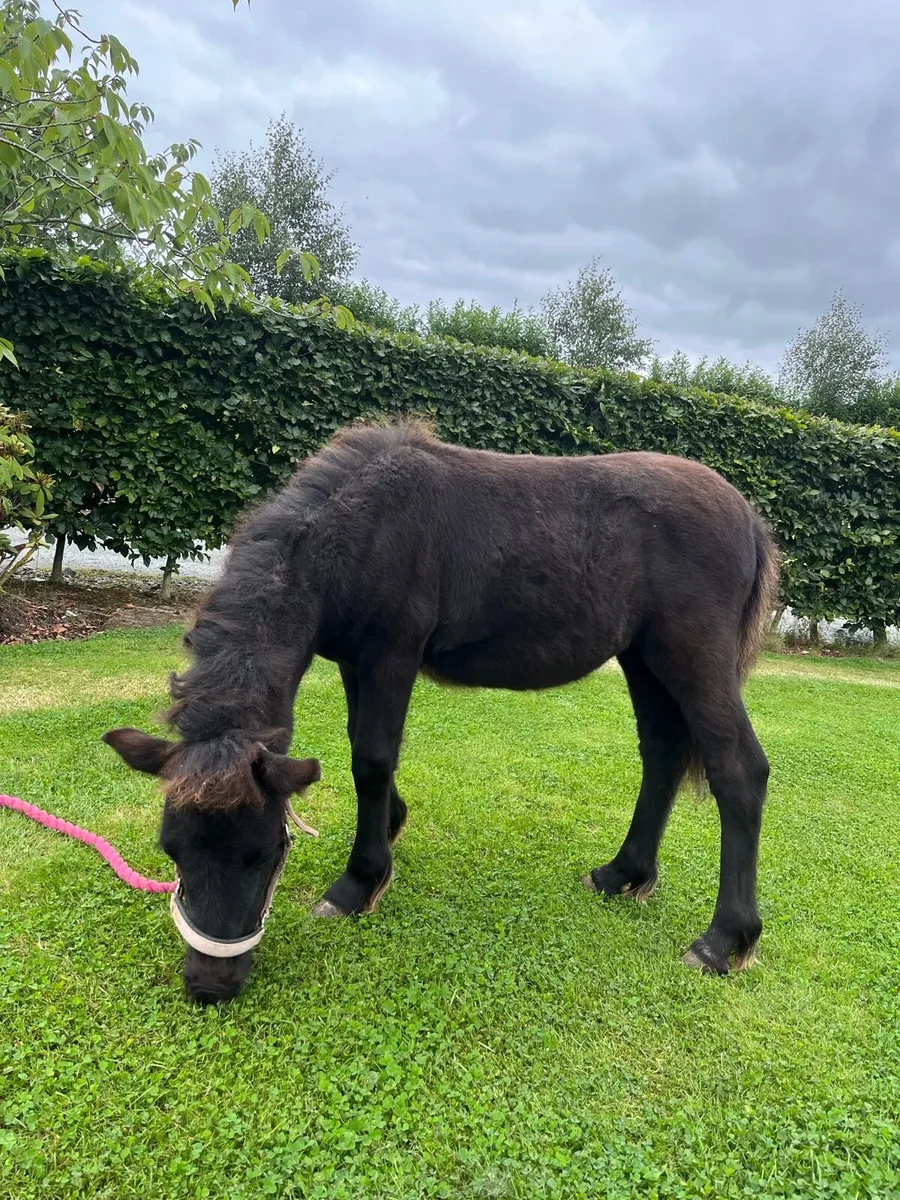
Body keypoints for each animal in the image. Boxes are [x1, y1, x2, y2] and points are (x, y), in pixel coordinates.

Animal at [103, 419, 779, 1004]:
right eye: (172, 850)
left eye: (264, 852)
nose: (209, 986)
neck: (356, 528)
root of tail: (748, 516)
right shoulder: (355, 661)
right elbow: (363, 749)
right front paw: (390, 828)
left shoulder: (391, 654)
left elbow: (372, 758)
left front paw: (359, 882)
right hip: (643, 658)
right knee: (662, 754)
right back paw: (625, 874)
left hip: (692, 658)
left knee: (738, 770)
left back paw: (723, 940)